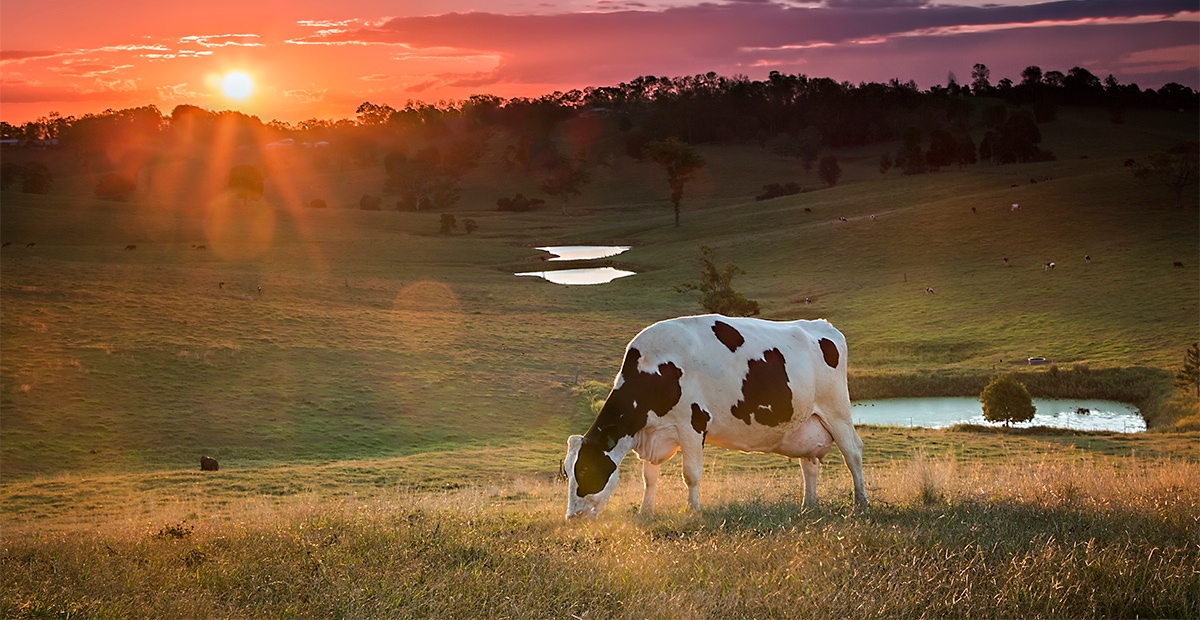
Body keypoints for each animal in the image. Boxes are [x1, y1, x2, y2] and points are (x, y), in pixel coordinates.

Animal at [566, 311, 868, 520]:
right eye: (567, 471)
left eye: (586, 469)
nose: (572, 518)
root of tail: (823, 325)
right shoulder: (653, 433)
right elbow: (649, 477)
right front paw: (645, 511)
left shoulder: (691, 424)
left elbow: (691, 474)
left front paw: (693, 511)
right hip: (804, 423)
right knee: (809, 465)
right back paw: (808, 505)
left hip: (837, 411)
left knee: (853, 453)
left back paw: (861, 503)